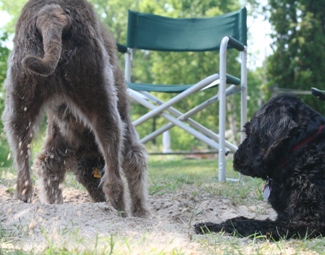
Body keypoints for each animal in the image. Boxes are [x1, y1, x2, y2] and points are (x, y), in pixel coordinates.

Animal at [0, 0, 148, 217]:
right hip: (98, 92)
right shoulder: (130, 139)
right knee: (112, 156)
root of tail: (51, 13)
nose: (99, 201)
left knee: (21, 153)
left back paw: (22, 199)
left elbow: (49, 174)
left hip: (21, 97)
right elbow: (134, 164)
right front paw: (141, 213)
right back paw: (118, 208)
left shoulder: (54, 151)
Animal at [194, 93, 324, 239]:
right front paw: (209, 225)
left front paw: (215, 226)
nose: (235, 159)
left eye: (250, 132)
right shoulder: (285, 216)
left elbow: (252, 223)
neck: (301, 152)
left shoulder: (311, 222)